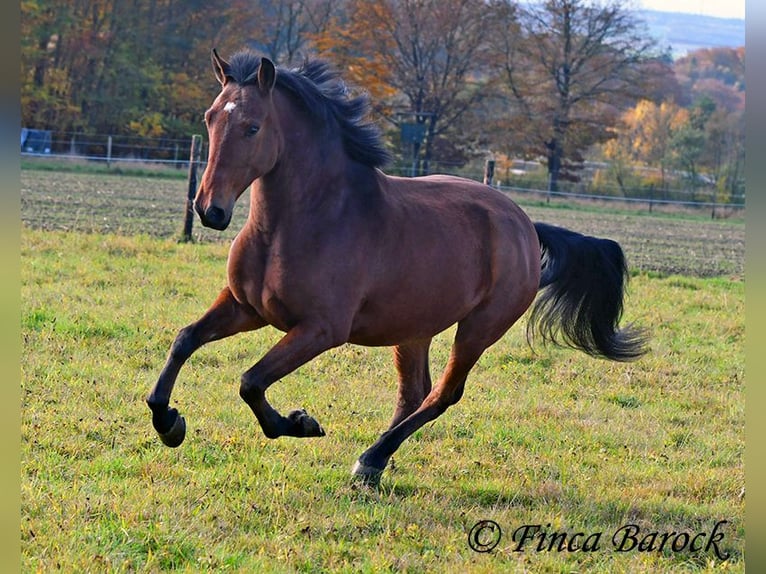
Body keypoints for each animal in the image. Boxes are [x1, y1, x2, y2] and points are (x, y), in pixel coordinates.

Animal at [146, 49, 648, 488]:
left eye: (252, 127)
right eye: (211, 117)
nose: (210, 210)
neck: (306, 221)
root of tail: (524, 224)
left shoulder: (320, 330)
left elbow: (251, 382)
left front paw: (301, 423)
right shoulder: (245, 307)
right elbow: (185, 339)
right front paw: (169, 423)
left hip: (479, 328)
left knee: (443, 393)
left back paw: (371, 458)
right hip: (413, 329)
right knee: (414, 392)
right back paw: (373, 464)